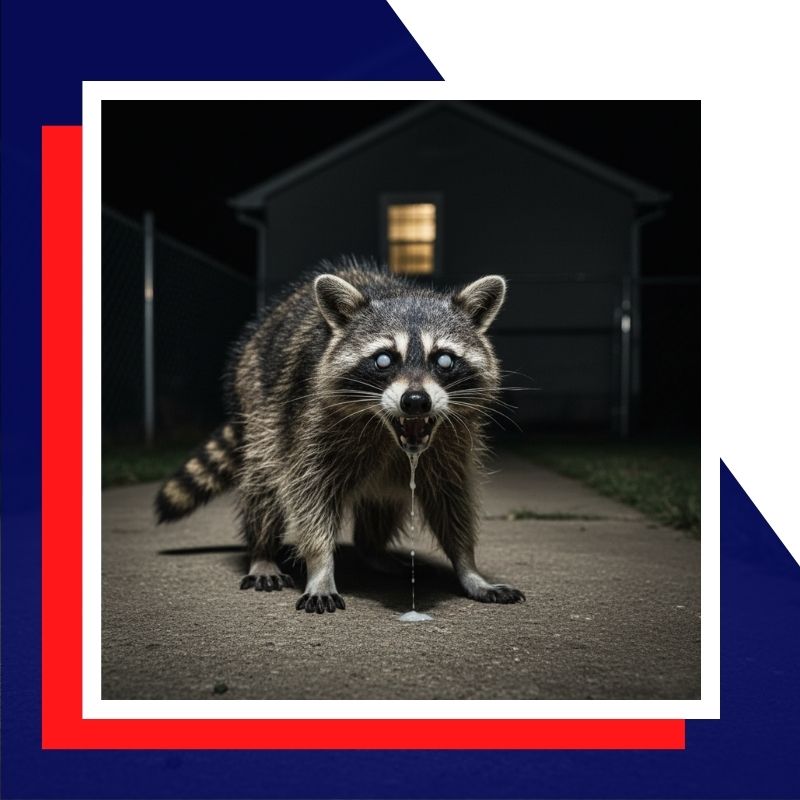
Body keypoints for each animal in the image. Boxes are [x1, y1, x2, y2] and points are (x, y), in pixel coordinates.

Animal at [155, 259, 525, 613]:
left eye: (445, 360)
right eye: (383, 360)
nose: (416, 401)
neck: (388, 432)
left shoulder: (452, 440)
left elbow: (451, 499)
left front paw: (468, 567)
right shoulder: (311, 422)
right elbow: (308, 495)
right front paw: (320, 568)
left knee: (383, 499)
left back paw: (372, 549)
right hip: (258, 398)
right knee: (264, 481)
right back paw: (262, 552)